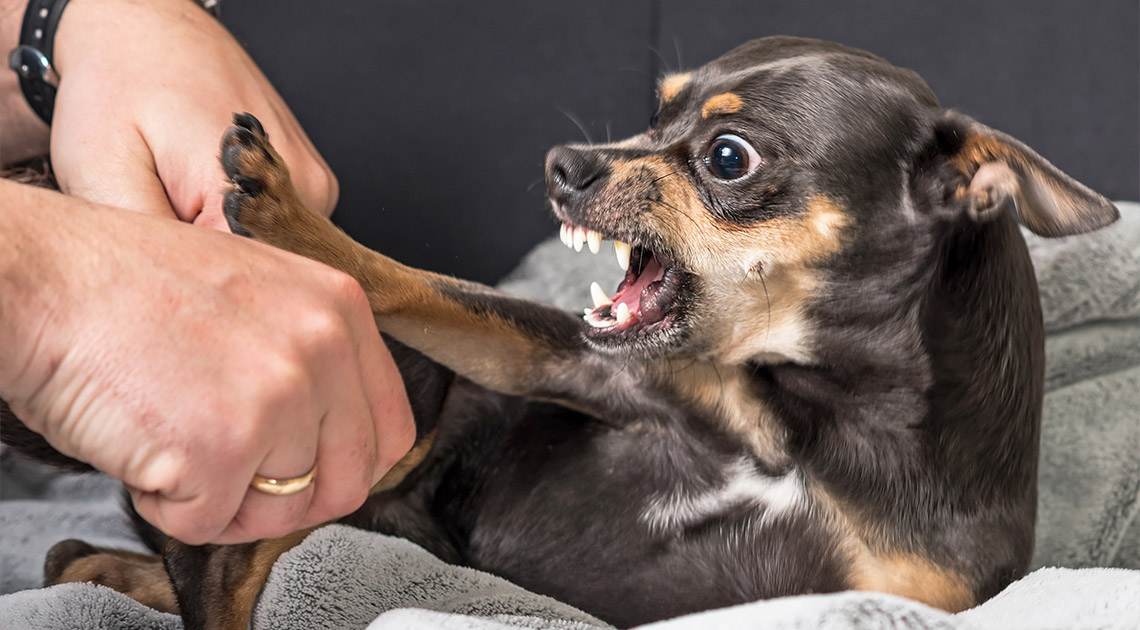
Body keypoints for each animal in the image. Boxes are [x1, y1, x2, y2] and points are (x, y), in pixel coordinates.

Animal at [0, 38, 1117, 628]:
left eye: (727, 155)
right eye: (653, 113)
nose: (564, 164)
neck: (811, 420)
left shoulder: (903, 599)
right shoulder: (571, 361)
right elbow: (417, 285)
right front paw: (292, 220)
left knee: (159, 570)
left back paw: (94, 568)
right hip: (398, 414)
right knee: (212, 573)